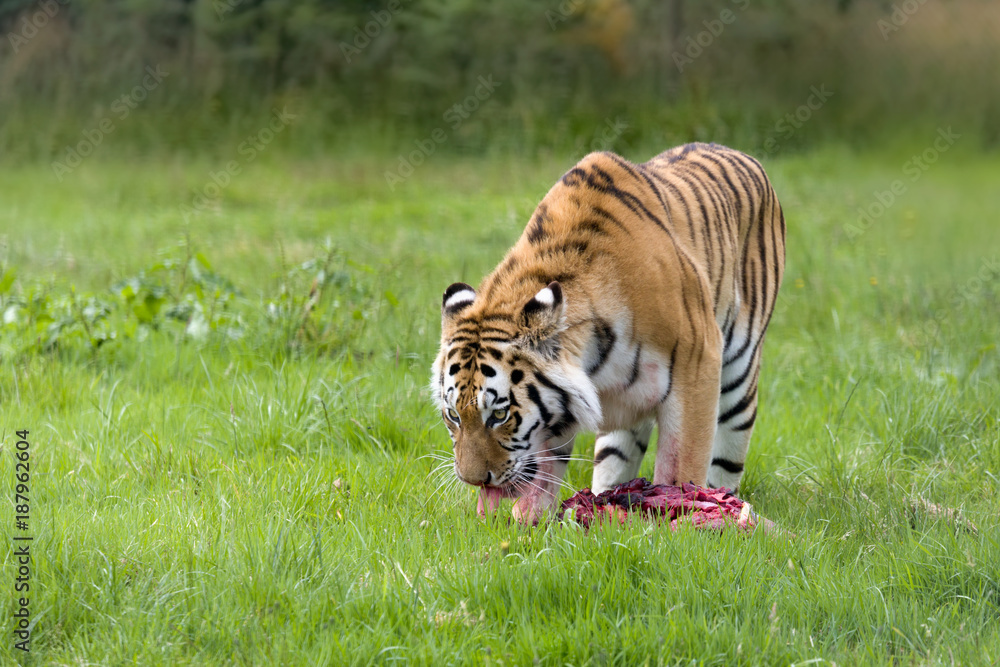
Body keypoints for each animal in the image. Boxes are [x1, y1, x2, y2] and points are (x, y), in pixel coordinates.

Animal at [431, 143, 786, 523]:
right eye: (454, 415)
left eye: (499, 415)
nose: (473, 480)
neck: (592, 359)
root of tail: (737, 152)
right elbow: (544, 469)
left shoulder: (697, 367)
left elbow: (681, 467)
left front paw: (682, 513)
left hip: (738, 378)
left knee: (727, 457)